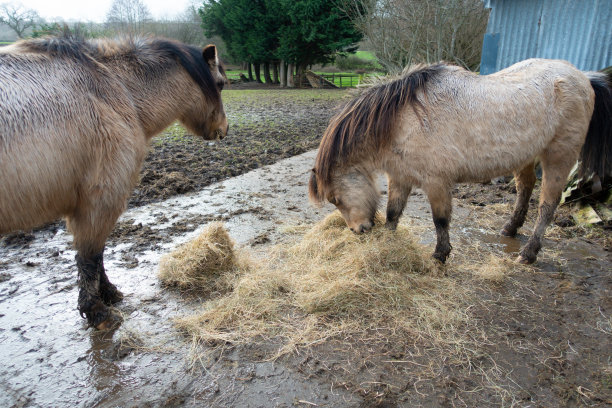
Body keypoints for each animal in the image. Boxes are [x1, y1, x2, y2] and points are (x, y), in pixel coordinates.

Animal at [0, 33, 230, 330]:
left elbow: (95, 257)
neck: (117, 91)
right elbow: (90, 256)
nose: (224, 129)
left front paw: (108, 294)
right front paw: (97, 310)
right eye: (221, 84)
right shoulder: (99, 201)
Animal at [310, 59, 612, 264]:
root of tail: (583, 77)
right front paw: (388, 244)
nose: (358, 230)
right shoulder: (400, 176)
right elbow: (393, 212)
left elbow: (440, 220)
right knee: (525, 188)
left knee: (547, 205)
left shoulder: (436, 182)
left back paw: (528, 254)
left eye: (335, 199)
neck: (402, 119)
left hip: (559, 157)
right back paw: (510, 229)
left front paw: (439, 256)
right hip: (526, 157)